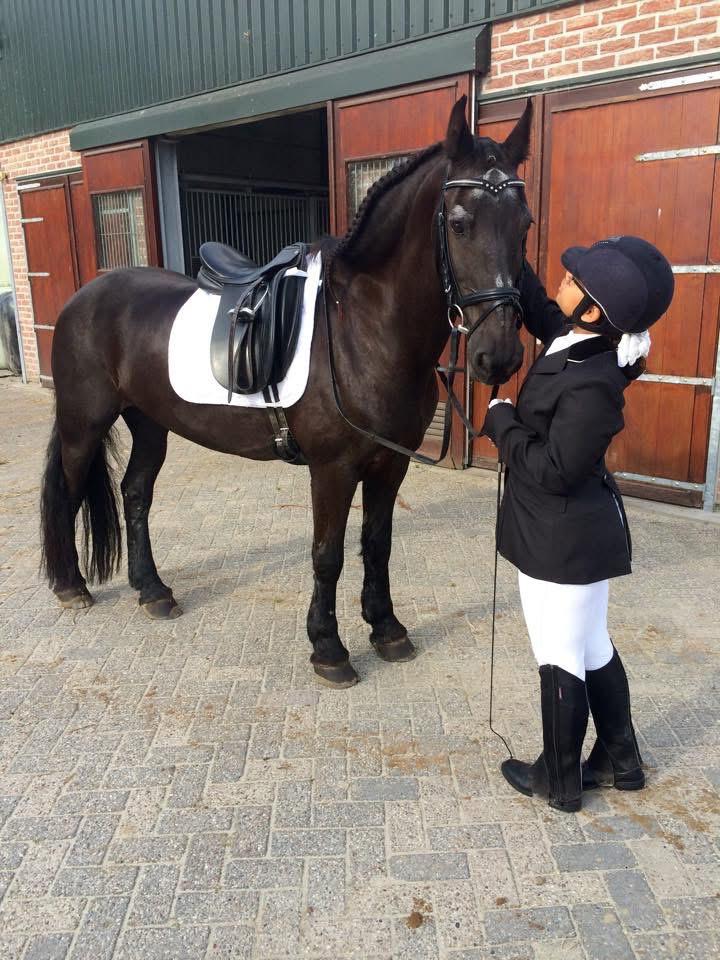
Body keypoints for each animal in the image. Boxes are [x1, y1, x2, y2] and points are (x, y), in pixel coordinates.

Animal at [40, 96, 533, 688]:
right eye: (459, 224)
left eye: (525, 223)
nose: (499, 355)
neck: (363, 326)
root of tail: (84, 297)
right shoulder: (333, 468)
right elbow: (327, 554)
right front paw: (329, 649)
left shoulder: (390, 465)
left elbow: (377, 546)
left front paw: (387, 630)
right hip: (83, 424)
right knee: (68, 492)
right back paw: (71, 587)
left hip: (150, 422)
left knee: (135, 494)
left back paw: (153, 591)